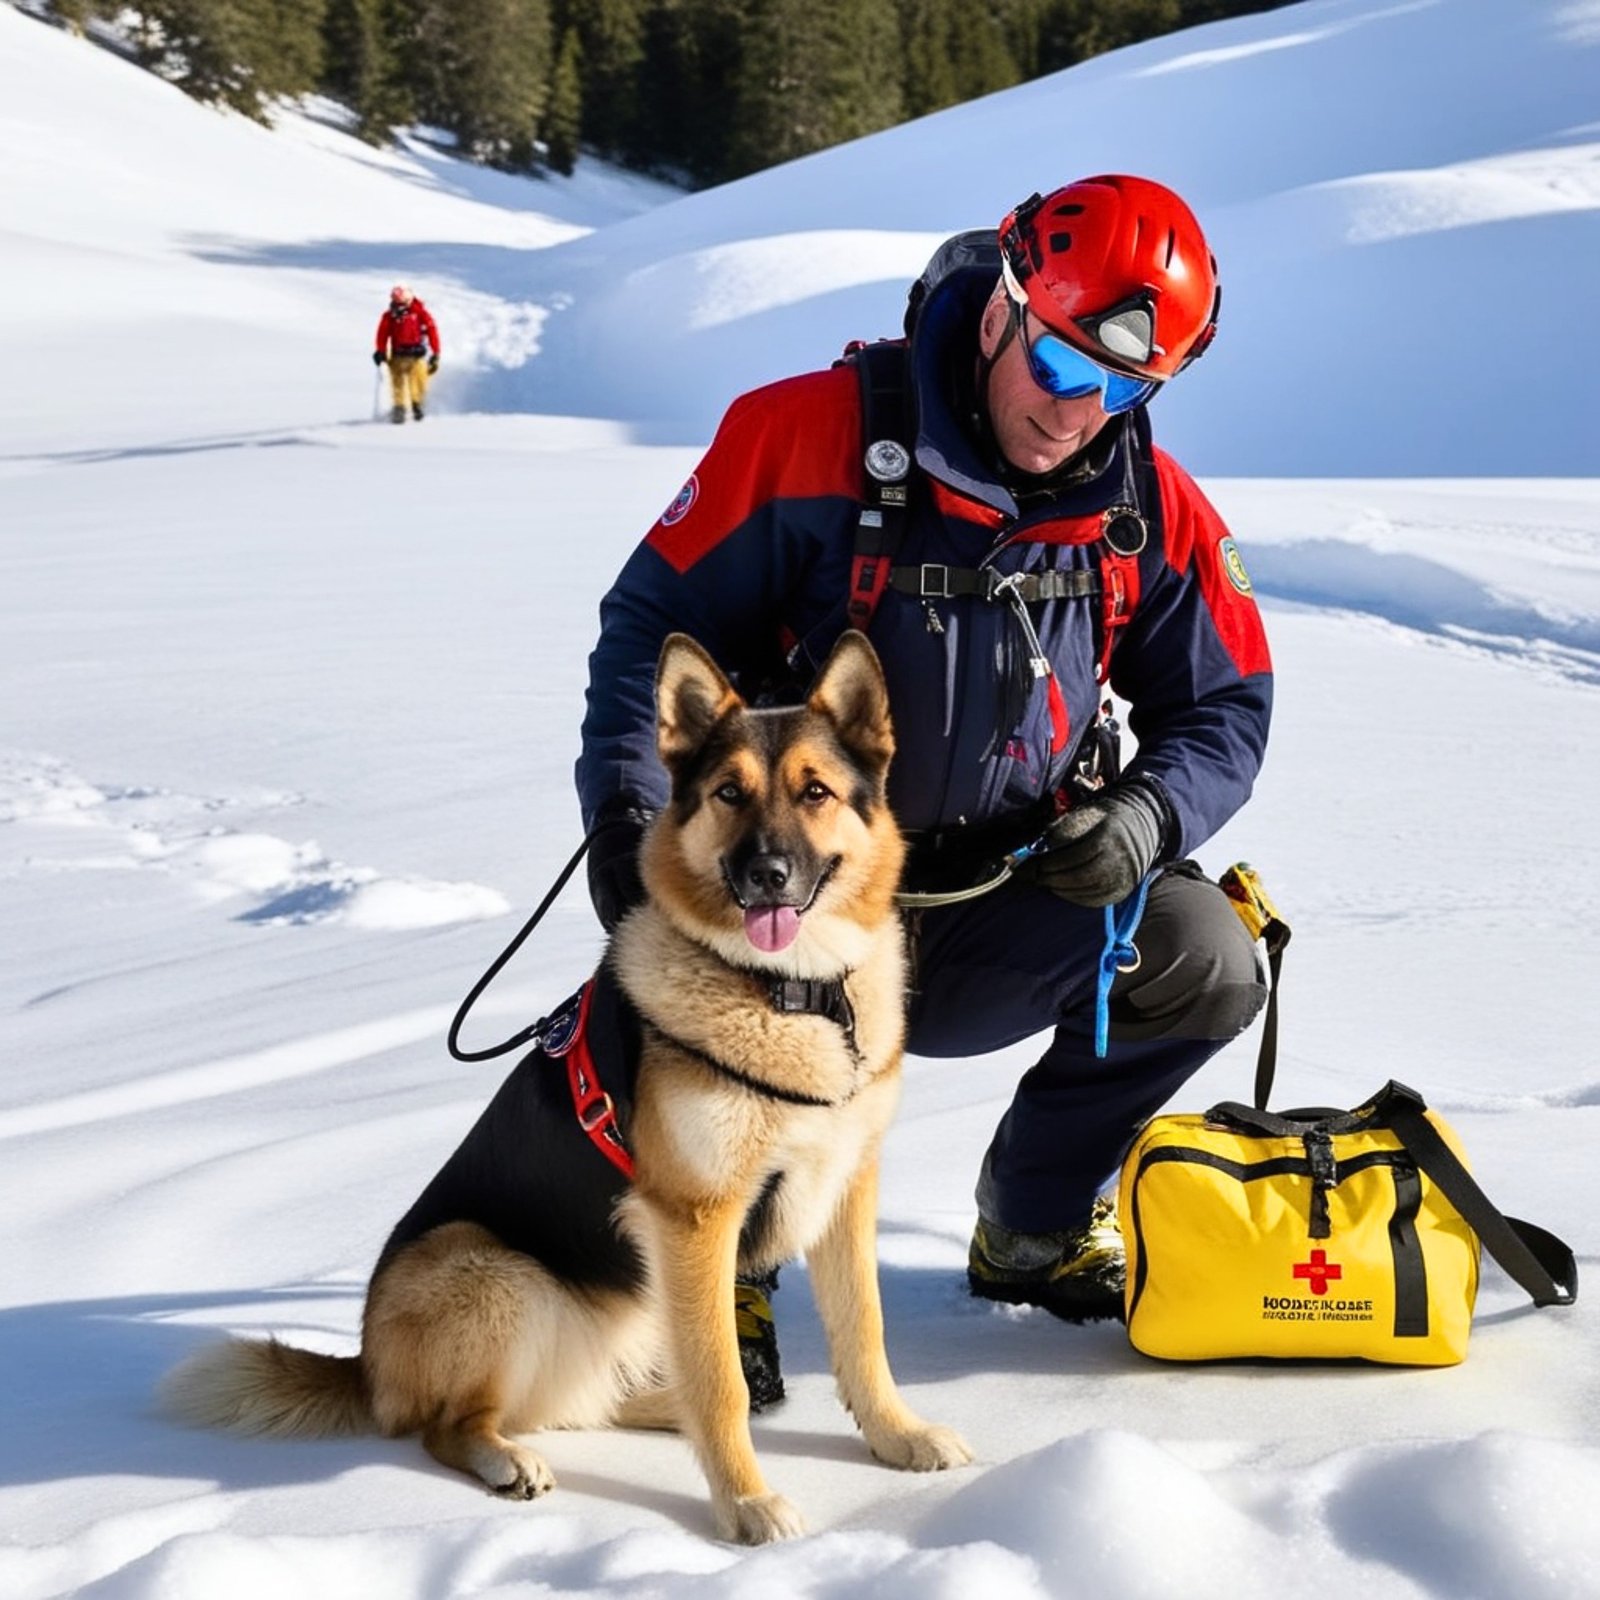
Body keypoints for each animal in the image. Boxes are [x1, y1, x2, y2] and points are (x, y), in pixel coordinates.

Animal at [172, 630, 972, 1542]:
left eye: (815, 792)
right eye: (729, 793)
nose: (767, 874)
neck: (790, 993)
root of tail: (366, 1367)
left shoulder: (841, 1191)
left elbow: (862, 1335)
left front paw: (898, 1439)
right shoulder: (695, 1219)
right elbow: (724, 1383)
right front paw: (744, 1505)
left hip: (623, 1305)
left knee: (602, 1395)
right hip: (494, 1270)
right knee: (452, 1424)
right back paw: (508, 1459)